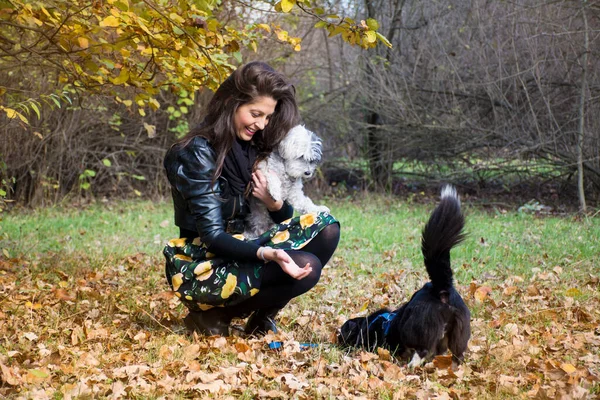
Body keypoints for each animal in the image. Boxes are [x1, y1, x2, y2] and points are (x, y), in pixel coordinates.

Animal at [338, 186, 468, 368]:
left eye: (343, 331)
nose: (336, 337)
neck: (368, 324)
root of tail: (441, 289)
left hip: (415, 329)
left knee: (422, 350)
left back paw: (412, 365)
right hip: (458, 334)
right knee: (457, 355)